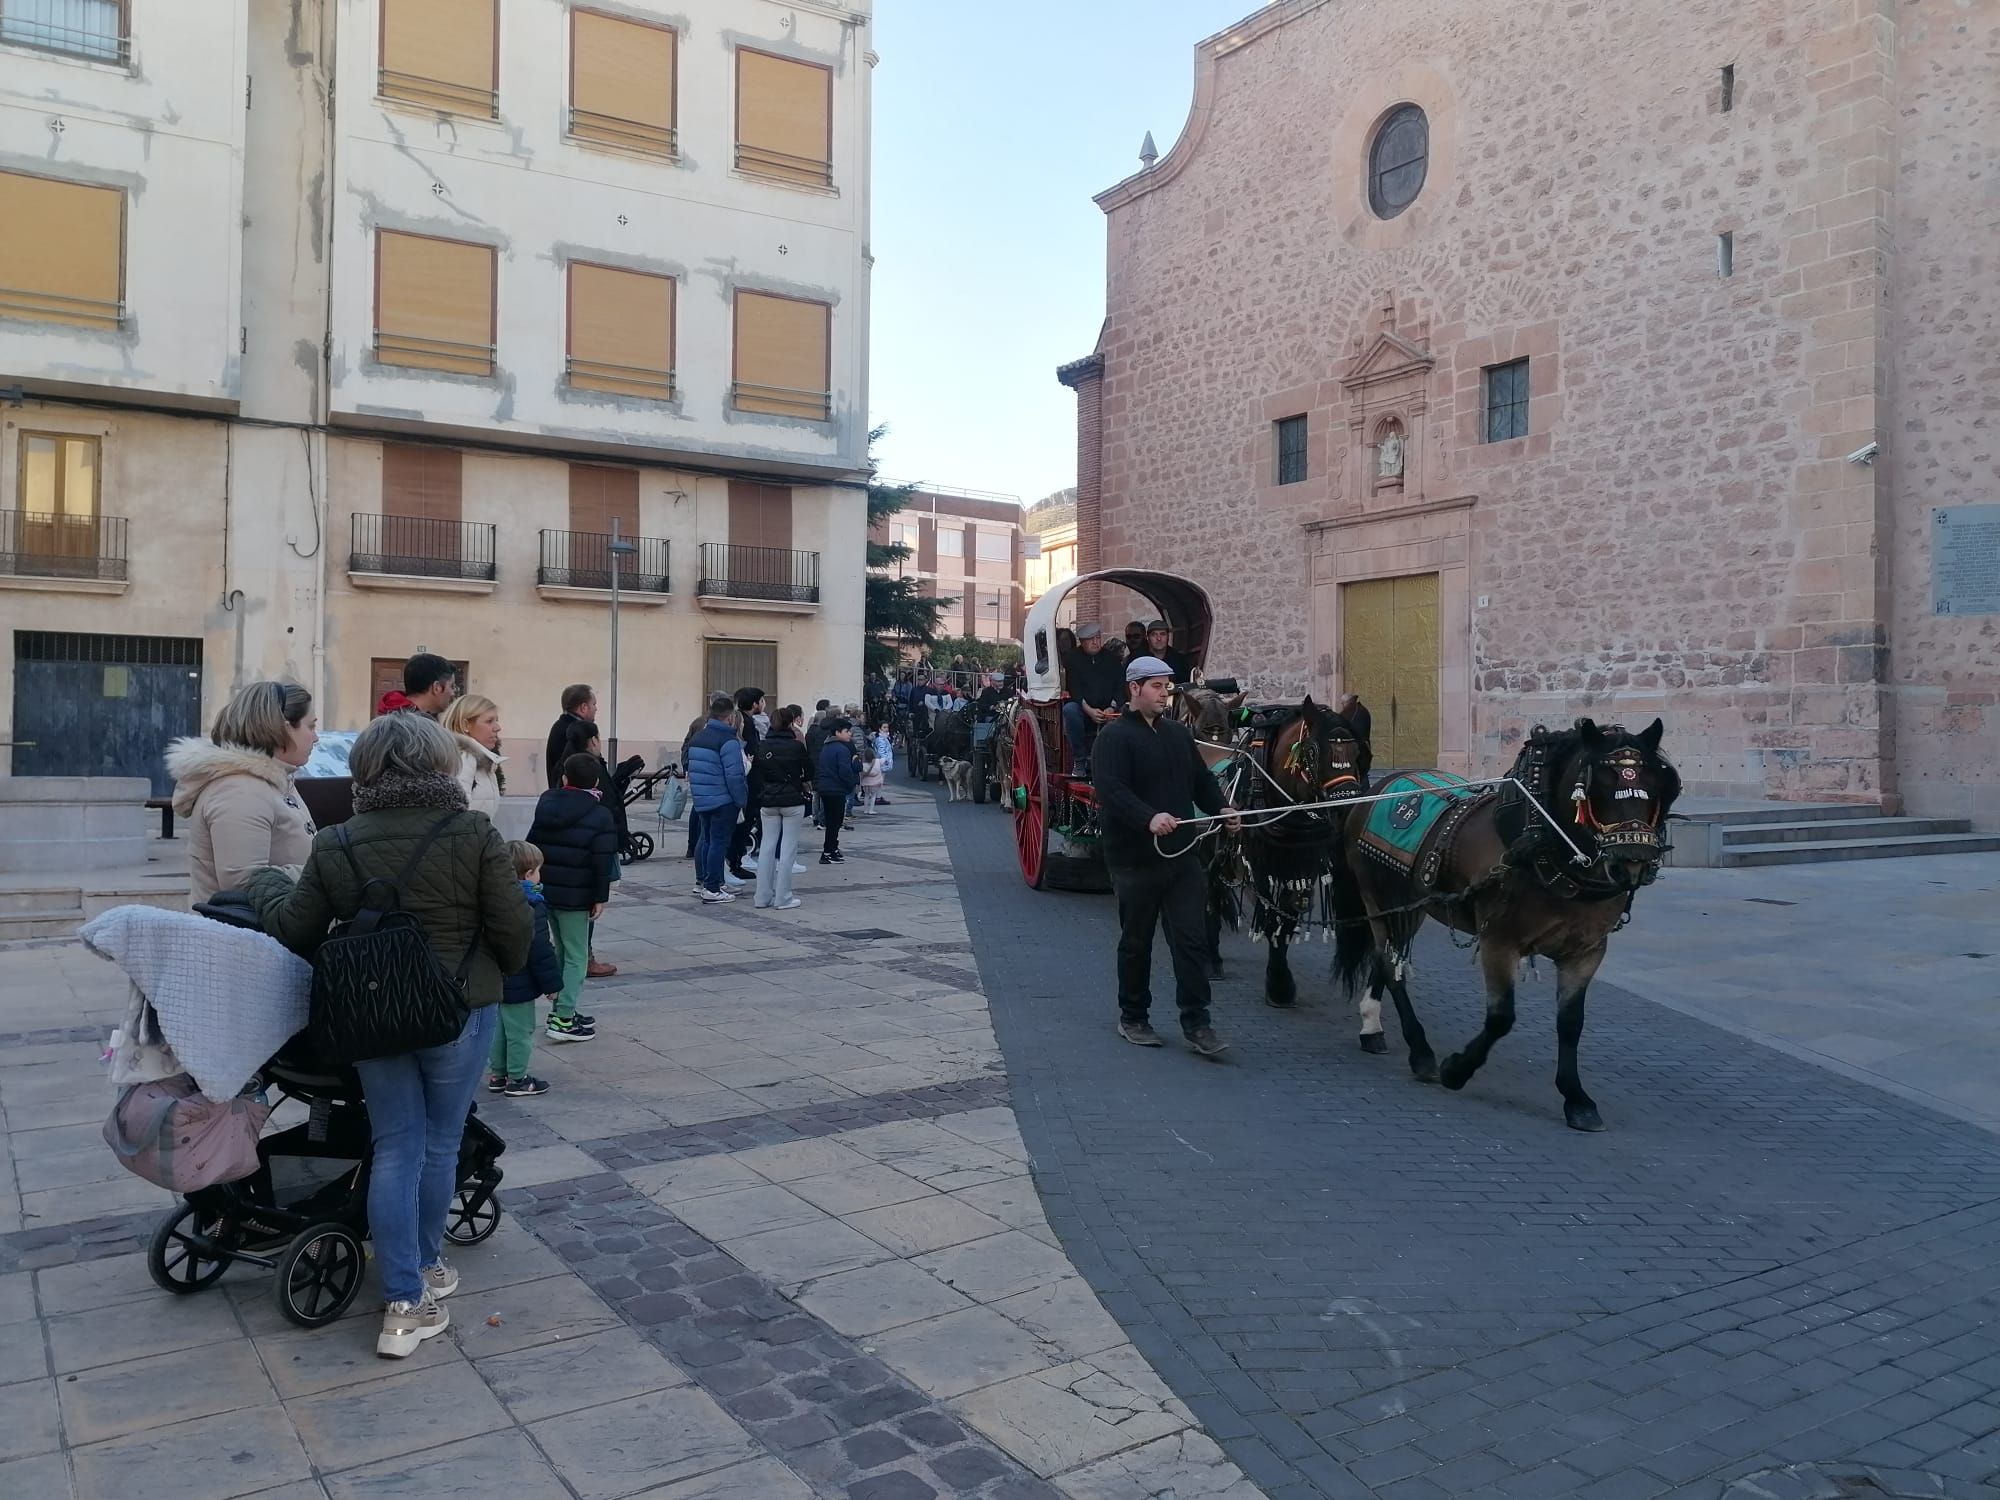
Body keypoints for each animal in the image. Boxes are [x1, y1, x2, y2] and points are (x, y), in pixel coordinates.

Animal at [1232, 704, 1376, 1012]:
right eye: (1311, 752)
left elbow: (1289, 913)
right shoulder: (1261, 863)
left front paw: (1280, 982)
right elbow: (1272, 915)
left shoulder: (1302, 862)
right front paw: (1278, 983)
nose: (1344, 806)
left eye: (1358, 753)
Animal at [1336, 724, 1680, 1136]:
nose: (1634, 863)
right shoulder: (1499, 942)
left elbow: (1571, 1023)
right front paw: (1457, 1069)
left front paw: (1576, 1099)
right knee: (1389, 963)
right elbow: (1501, 1018)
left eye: (1656, 784)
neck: (1545, 846)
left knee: (1388, 957)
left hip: (1412, 905)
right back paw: (1420, 1052)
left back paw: (1373, 1025)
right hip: (1376, 895)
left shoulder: (1586, 951)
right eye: (1598, 786)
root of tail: (1384, 783)